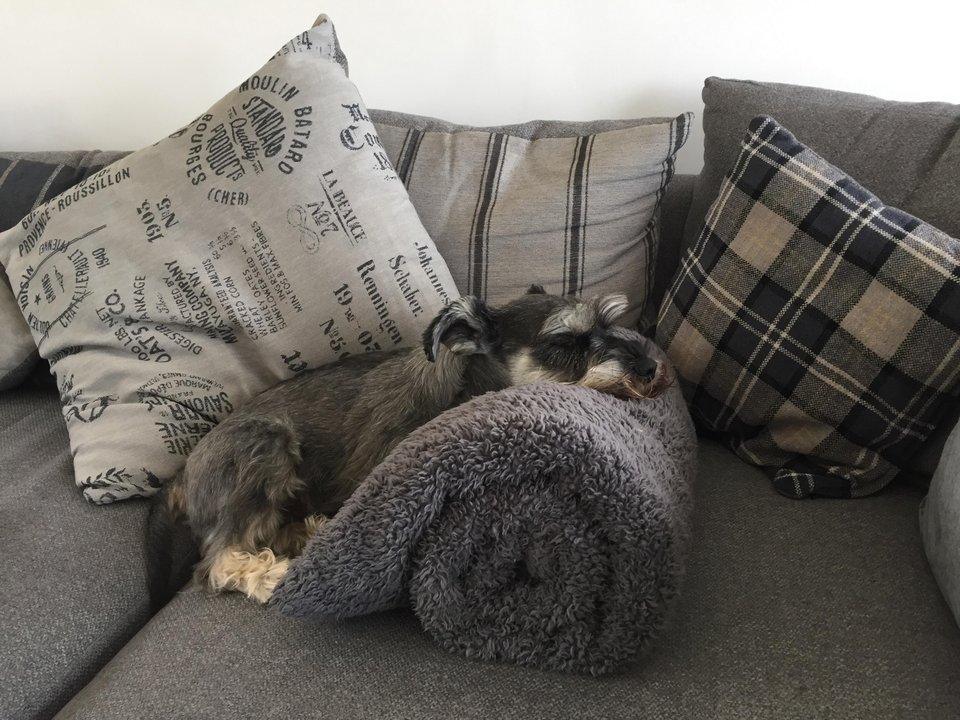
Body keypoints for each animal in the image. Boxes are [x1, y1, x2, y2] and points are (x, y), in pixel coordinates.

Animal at [148, 286, 676, 608]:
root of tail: (181, 475)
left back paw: (309, 531)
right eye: (565, 342)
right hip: (266, 441)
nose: (651, 368)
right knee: (219, 560)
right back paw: (273, 573)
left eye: (609, 326)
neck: (461, 388)